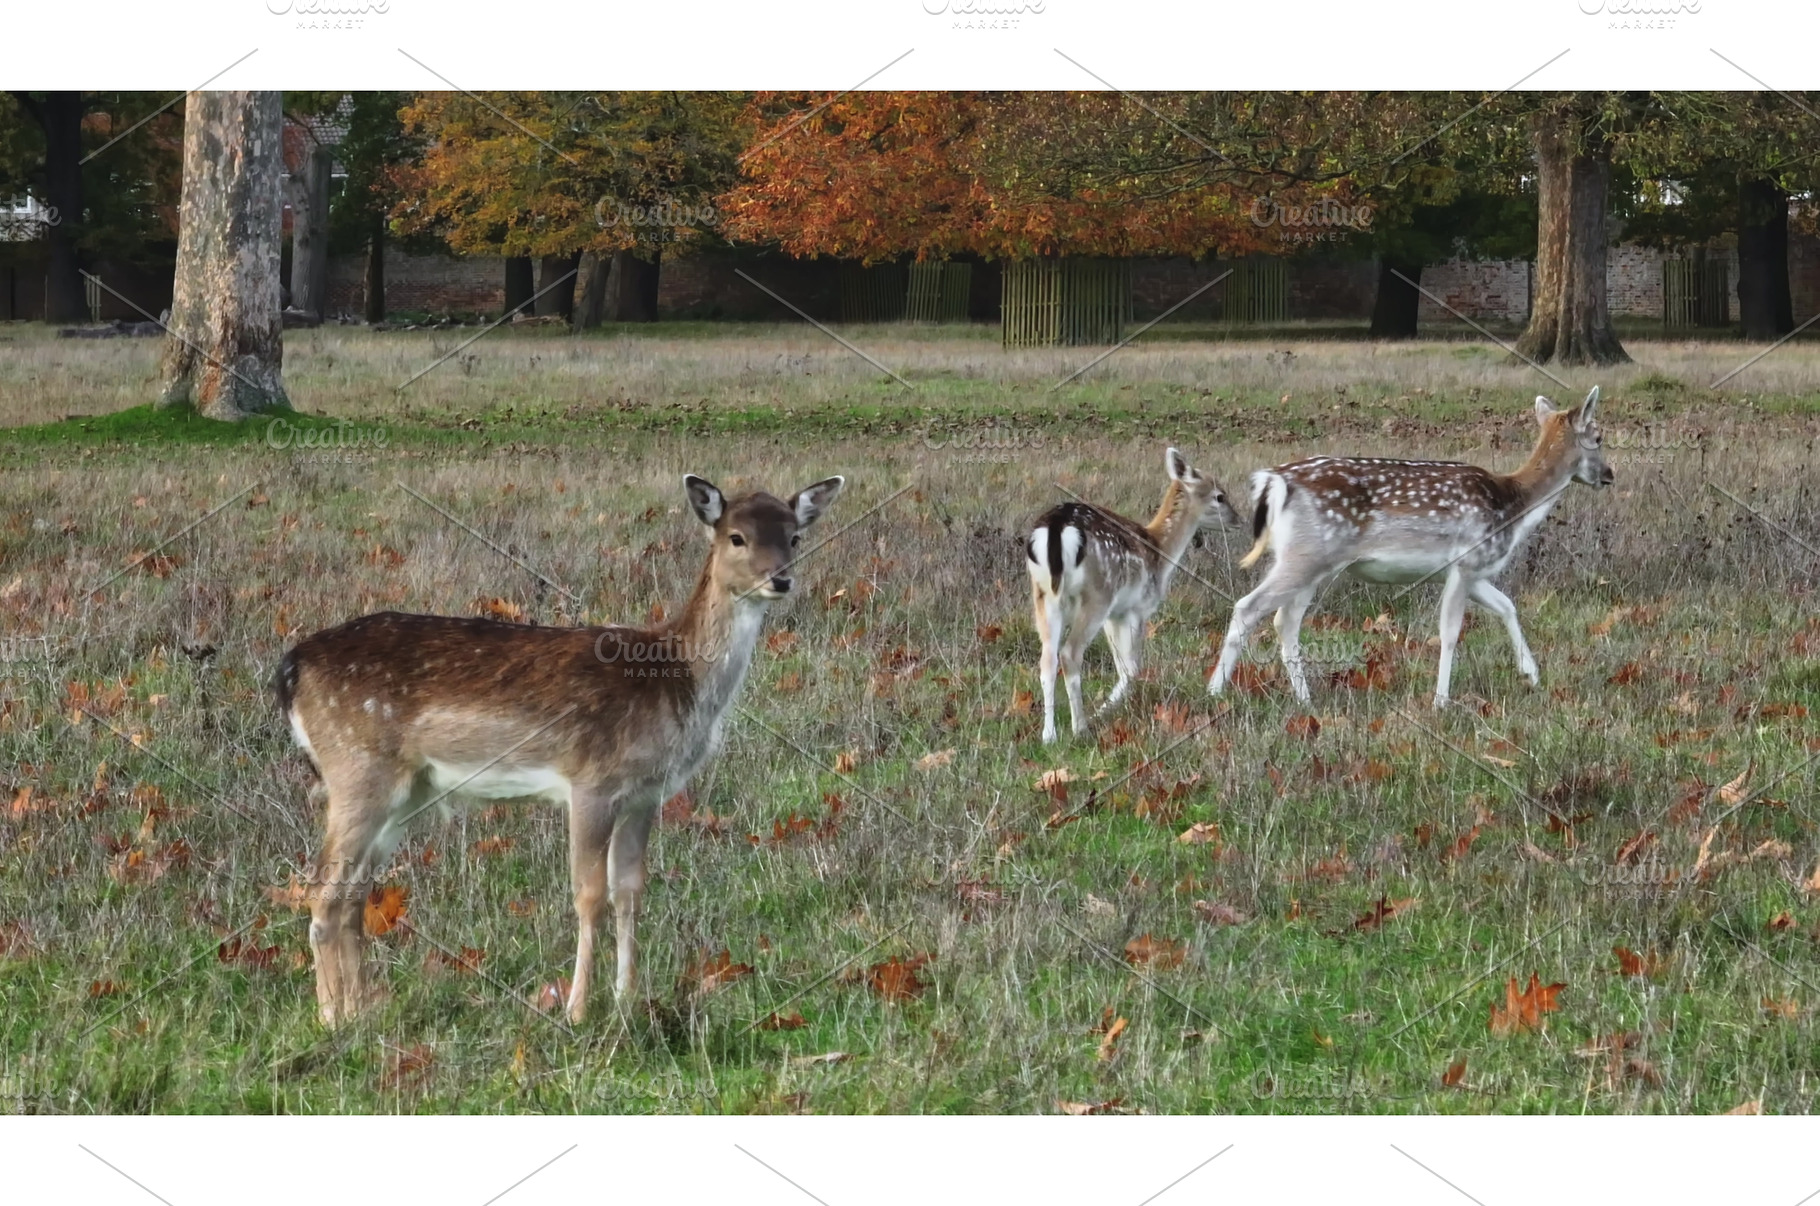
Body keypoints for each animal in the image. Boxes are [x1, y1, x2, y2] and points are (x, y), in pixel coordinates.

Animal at [276, 472, 844, 1026]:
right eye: (736, 536)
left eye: (795, 537)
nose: (780, 579)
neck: (674, 677)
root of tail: (291, 669)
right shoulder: (593, 780)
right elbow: (589, 895)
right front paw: (576, 1011)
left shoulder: (645, 795)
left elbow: (629, 891)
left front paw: (626, 1002)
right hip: (357, 765)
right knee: (321, 889)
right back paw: (332, 1019)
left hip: (404, 791)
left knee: (354, 893)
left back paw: (363, 1011)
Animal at [1027, 447, 1239, 744]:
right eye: (1220, 496)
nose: (1239, 520)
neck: (1159, 550)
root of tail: (1056, 528)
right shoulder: (1138, 608)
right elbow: (1133, 667)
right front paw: (1103, 711)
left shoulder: (1115, 614)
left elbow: (1123, 666)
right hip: (1098, 594)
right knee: (1069, 653)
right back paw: (1080, 728)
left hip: (1044, 595)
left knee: (1047, 659)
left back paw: (1049, 736)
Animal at [1207, 386, 1611, 710]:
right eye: (1598, 437)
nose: (1609, 475)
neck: (1512, 505)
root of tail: (1274, 482)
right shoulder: (1465, 562)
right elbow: (1450, 632)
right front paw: (1441, 702)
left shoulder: (1474, 571)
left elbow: (1507, 606)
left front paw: (1531, 674)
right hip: (1308, 554)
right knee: (1249, 608)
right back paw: (1214, 692)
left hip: (1307, 560)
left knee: (1285, 621)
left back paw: (1305, 700)